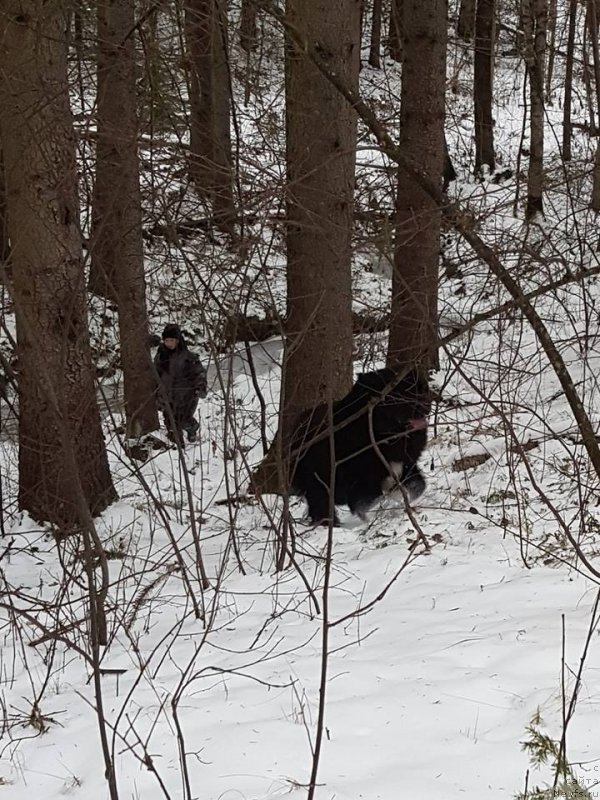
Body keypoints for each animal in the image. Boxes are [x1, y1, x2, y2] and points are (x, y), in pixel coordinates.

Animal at [290, 368, 432, 524]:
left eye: (422, 389)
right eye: (403, 394)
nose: (427, 403)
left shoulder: (405, 464)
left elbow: (418, 485)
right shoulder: (361, 479)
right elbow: (367, 501)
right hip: (316, 481)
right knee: (321, 504)